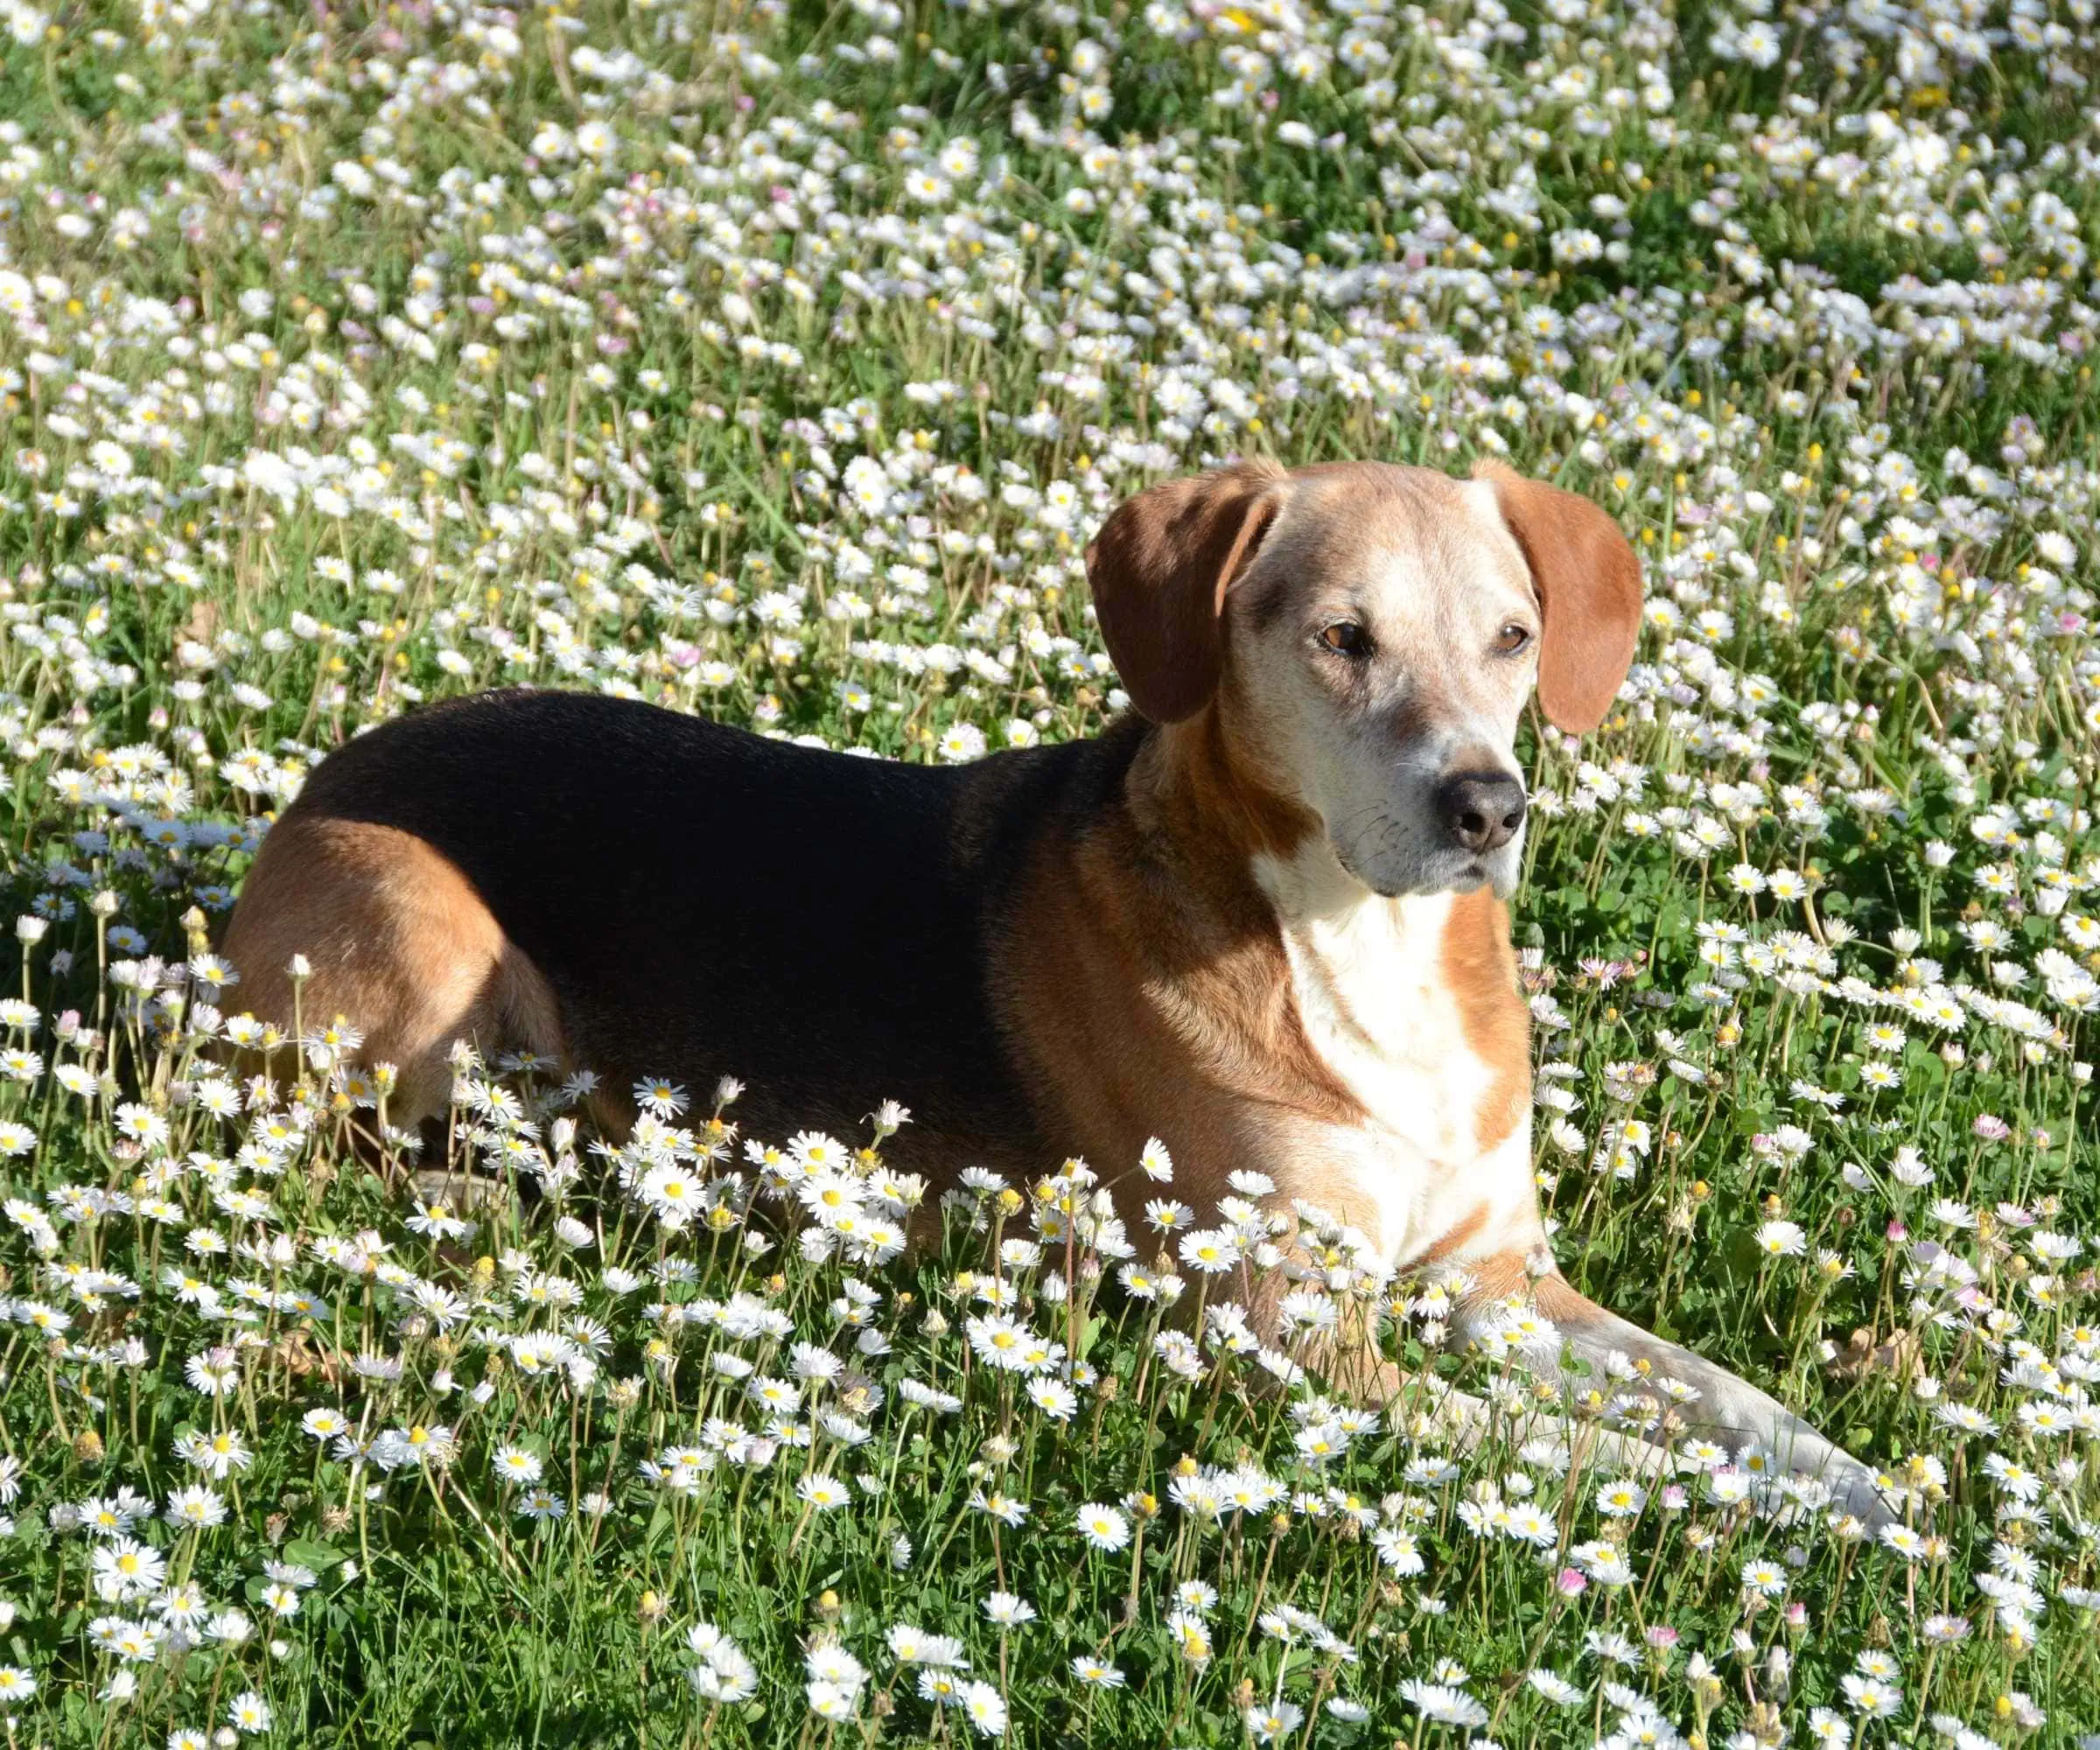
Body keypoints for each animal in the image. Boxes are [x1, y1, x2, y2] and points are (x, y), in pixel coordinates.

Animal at [226, 458, 1907, 1521]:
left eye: (1513, 638)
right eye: (1342, 639)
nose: (1486, 808)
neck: (1358, 950)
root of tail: (325, 774)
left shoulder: (1496, 1280)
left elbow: (1724, 1399)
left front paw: (1863, 1494)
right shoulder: (1285, 1329)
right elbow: (1571, 1442)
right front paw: (1751, 1514)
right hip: (430, 934)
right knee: (328, 1146)